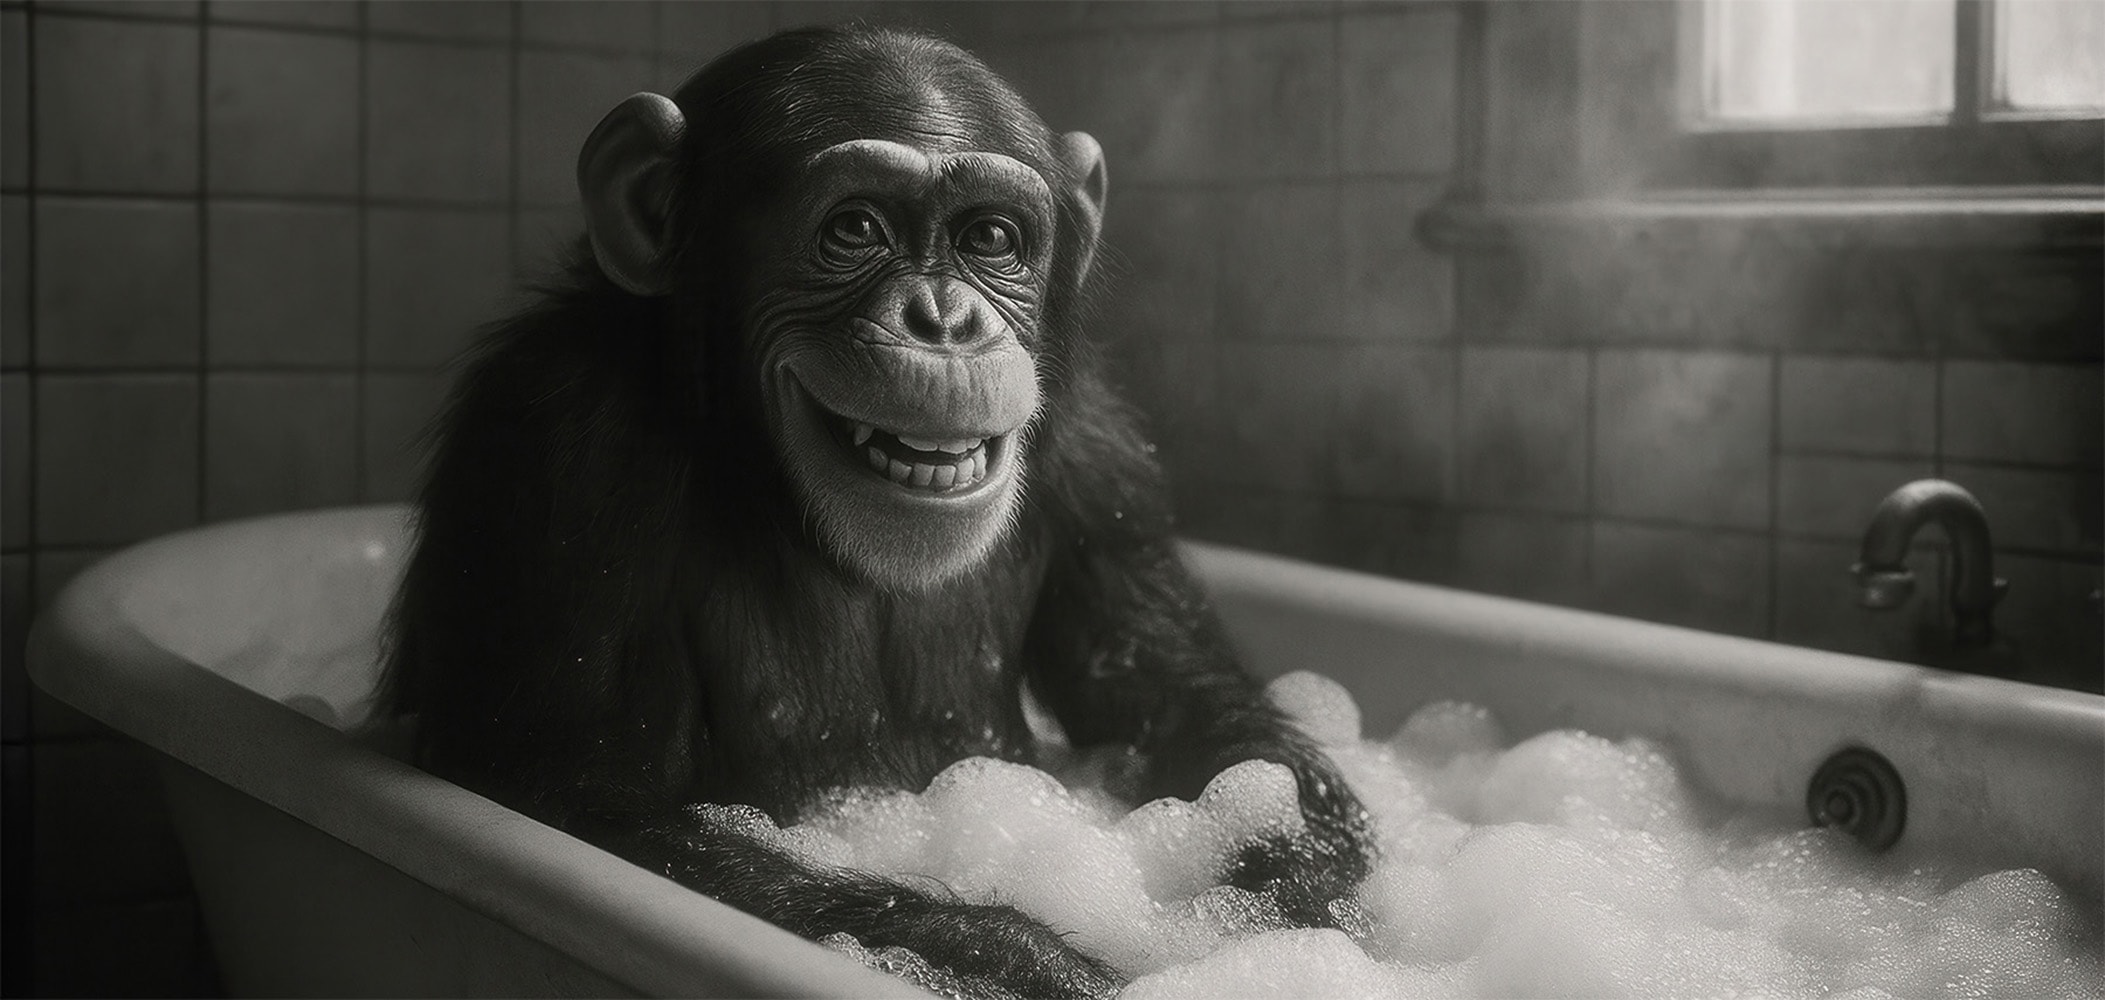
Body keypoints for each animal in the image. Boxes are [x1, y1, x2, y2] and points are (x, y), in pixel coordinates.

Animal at [382, 24, 1371, 998]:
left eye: (990, 237)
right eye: (855, 227)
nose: (945, 319)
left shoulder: (1099, 447)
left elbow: (1175, 702)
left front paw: (1280, 897)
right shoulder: (559, 445)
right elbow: (582, 798)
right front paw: (1037, 961)